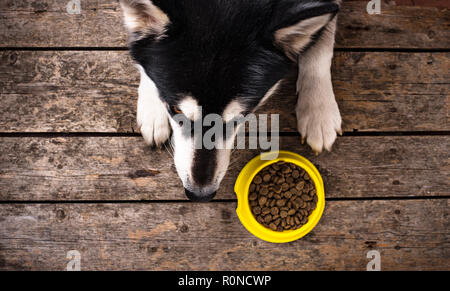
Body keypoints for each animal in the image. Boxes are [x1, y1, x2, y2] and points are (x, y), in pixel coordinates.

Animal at [118, 0, 342, 202]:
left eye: (241, 116)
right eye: (176, 110)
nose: (200, 195)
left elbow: (322, 42)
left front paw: (318, 111)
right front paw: (153, 109)